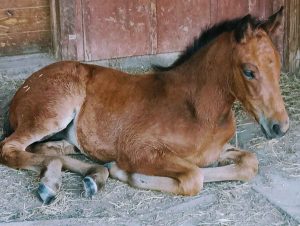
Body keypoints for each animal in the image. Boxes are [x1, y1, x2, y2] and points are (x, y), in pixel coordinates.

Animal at [0, 7, 288, 203]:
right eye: (249, 71)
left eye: (278, 65)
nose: (280, 127)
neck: (197, 110)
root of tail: (27, 84)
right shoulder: (138, 150)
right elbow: (194, 176)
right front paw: (124, 172)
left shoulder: (216, 151)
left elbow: (249, 163)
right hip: (52, 114)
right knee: (11, 148)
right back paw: (63, 181)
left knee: (48, 150)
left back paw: (90, 176)